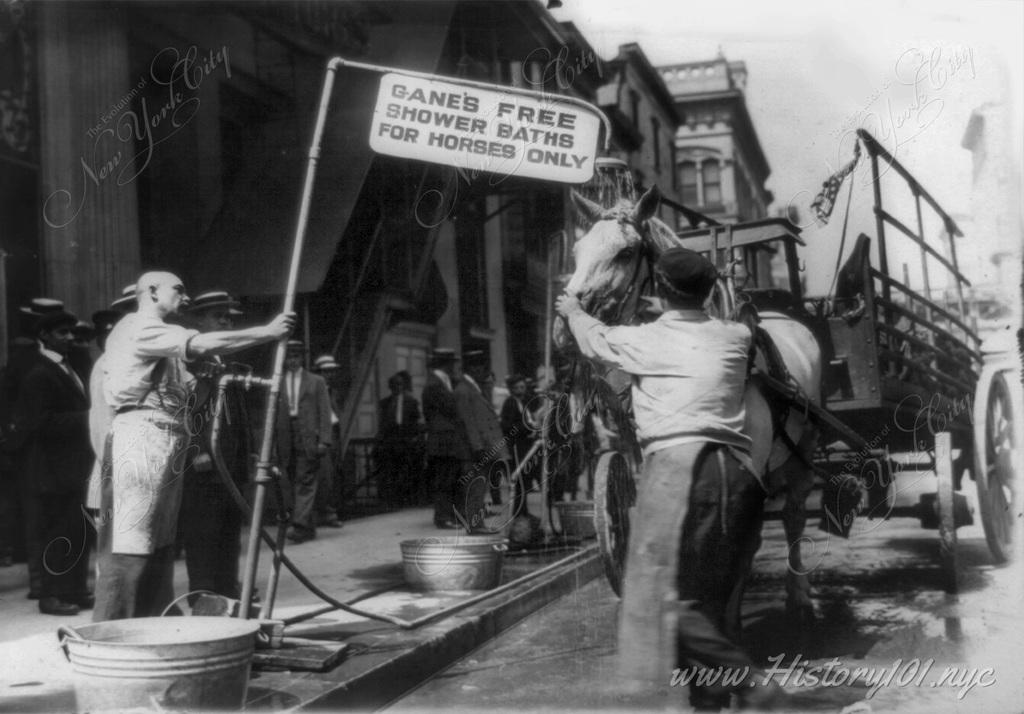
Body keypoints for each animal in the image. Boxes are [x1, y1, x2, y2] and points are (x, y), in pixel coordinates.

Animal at [557, 185, 819, 622]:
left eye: (626, 252)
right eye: (576, 251)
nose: (562, 327)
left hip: (802, 451)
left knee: (794, 515)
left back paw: (797, 594)